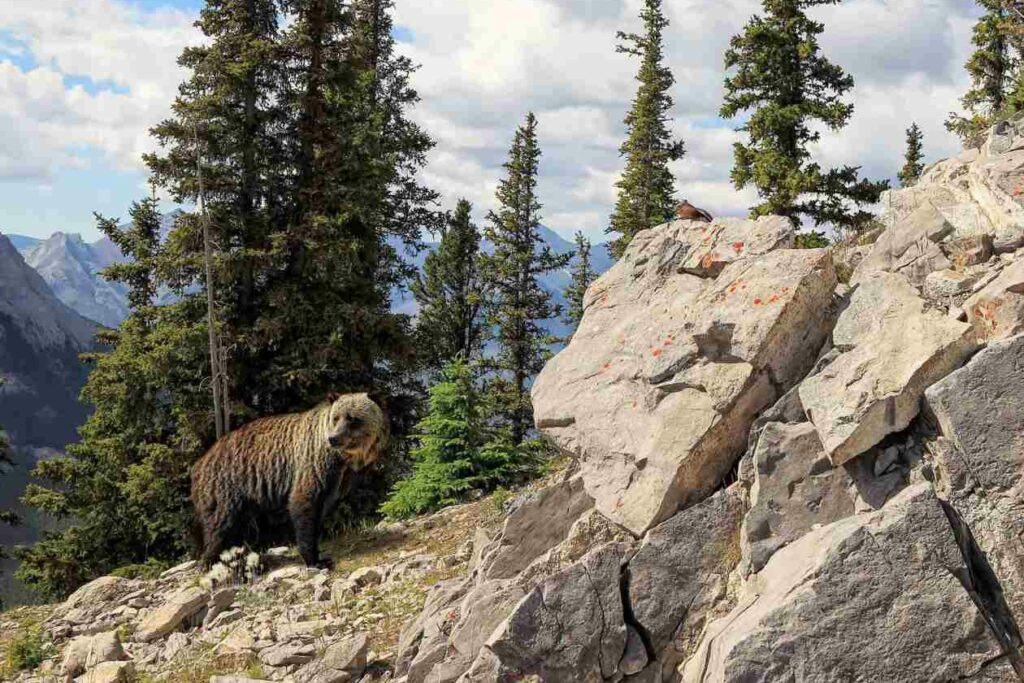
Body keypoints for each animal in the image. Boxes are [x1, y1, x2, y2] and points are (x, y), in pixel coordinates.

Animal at [190, 393, 385, 569]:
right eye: (335, 417)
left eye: (352, 418)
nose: (334, 438)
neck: (340, 459)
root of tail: (199, 463)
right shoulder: (311, 466)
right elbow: (303, 505)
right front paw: (314, 560)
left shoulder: (334, 481)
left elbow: (321, 511)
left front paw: (320, 555)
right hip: (226, 485)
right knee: (220, 524)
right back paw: (210, 562)